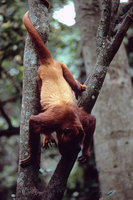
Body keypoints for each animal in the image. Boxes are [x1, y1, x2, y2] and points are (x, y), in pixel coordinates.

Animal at [20, 1, 96, 167]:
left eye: (77, 145)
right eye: (69, 146)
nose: (76, 150)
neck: (69, 121)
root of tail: (49, 63)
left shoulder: (81, 120)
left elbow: (92, 120)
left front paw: (86, 153)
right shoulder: (55, 119)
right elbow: (34, 121)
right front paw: (32, 156)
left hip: (60, 66)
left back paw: (78, 87)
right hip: (42, 74)